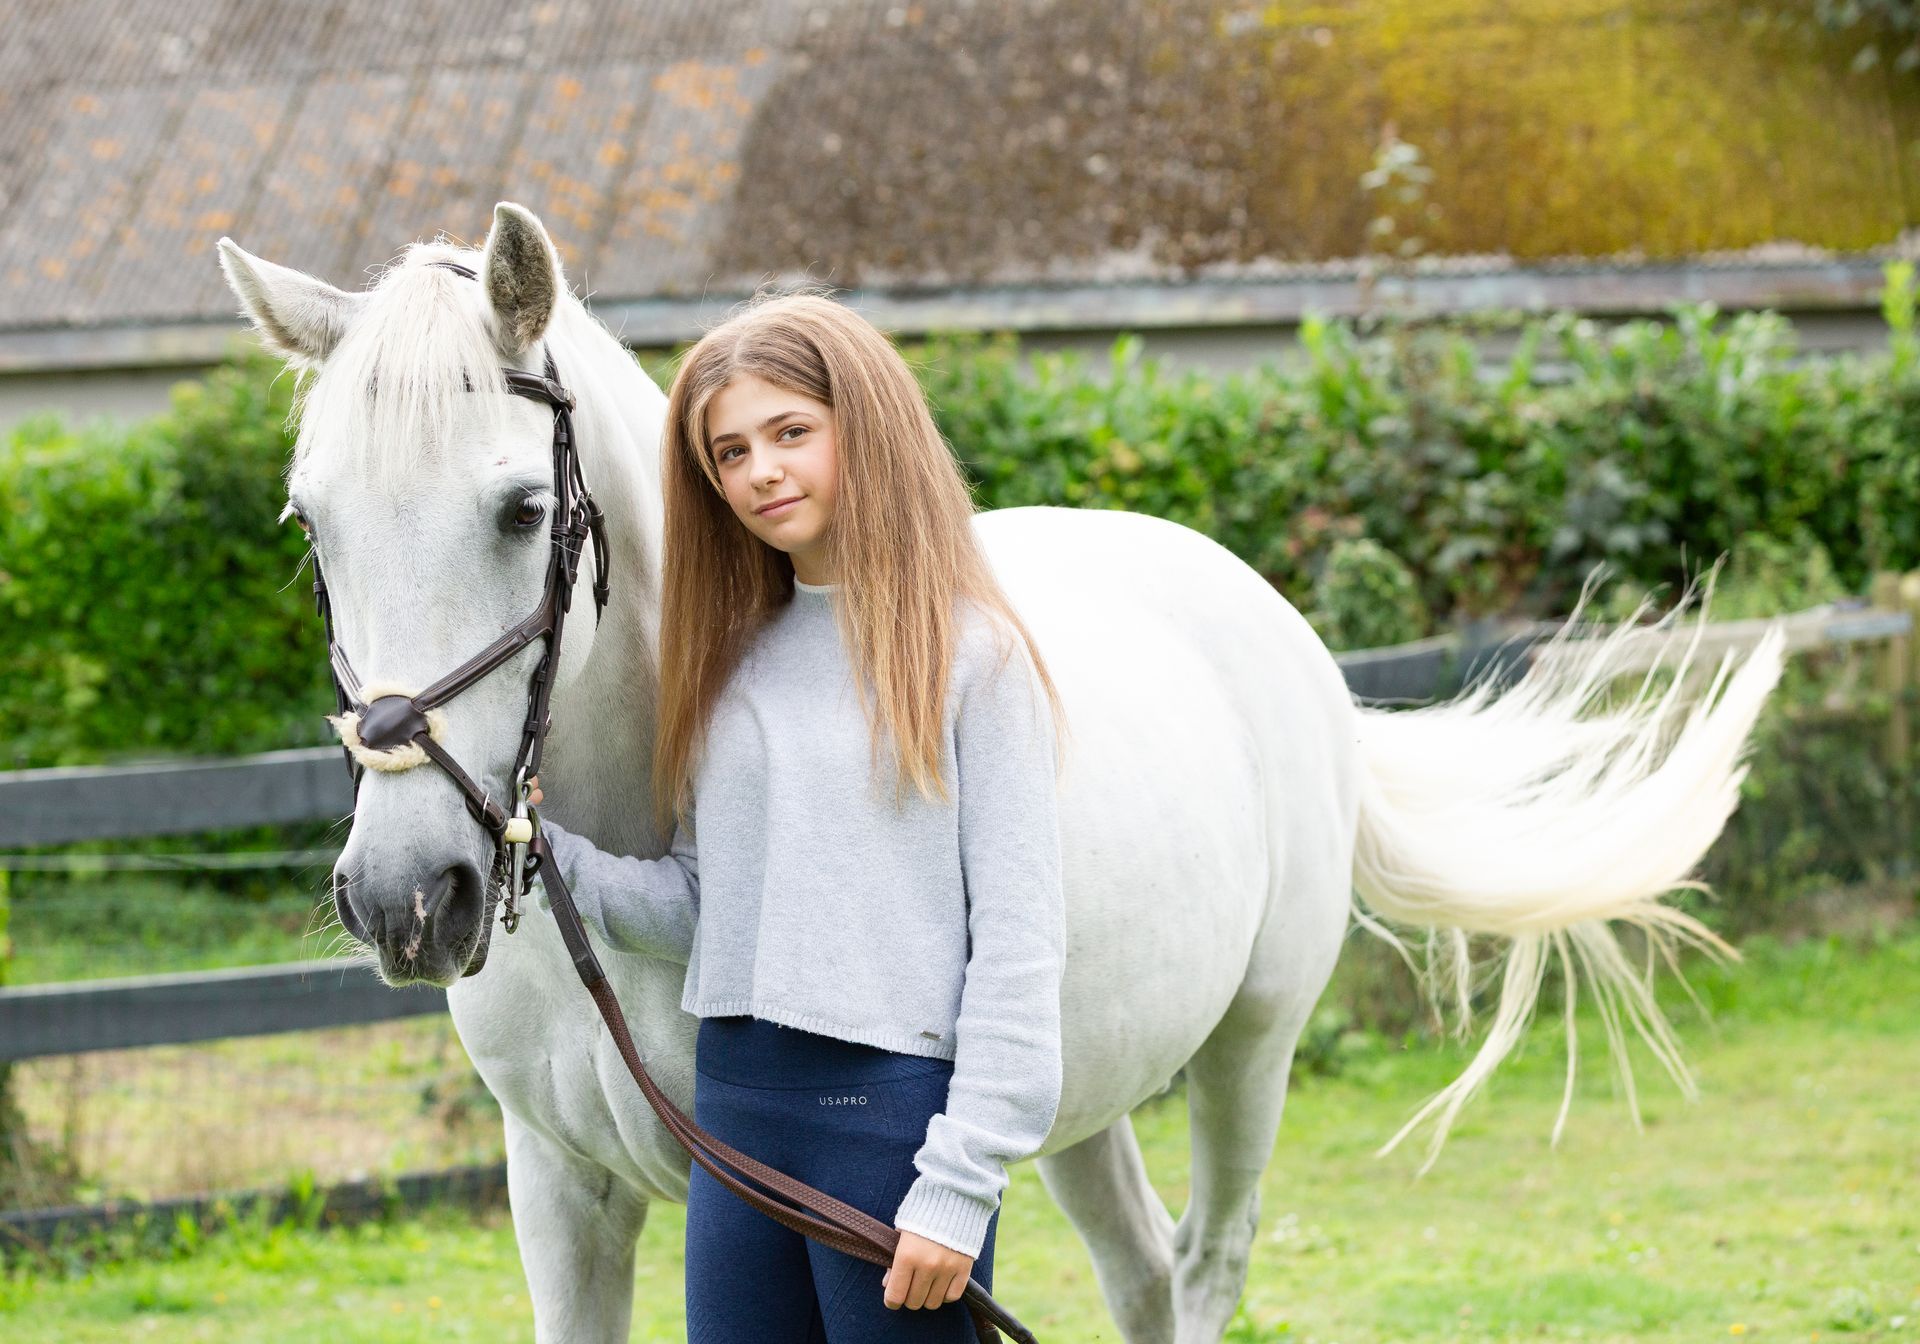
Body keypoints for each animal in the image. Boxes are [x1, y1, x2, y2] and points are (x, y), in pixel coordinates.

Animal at [216, 202, 1784, 1344]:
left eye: (521, 510)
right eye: (308, 524)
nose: (406, 898)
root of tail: (1268, 623)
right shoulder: (566, 1191)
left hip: (1248, 1053)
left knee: (1204, 1268)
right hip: (1082, 1095)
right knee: (1142, 1270)